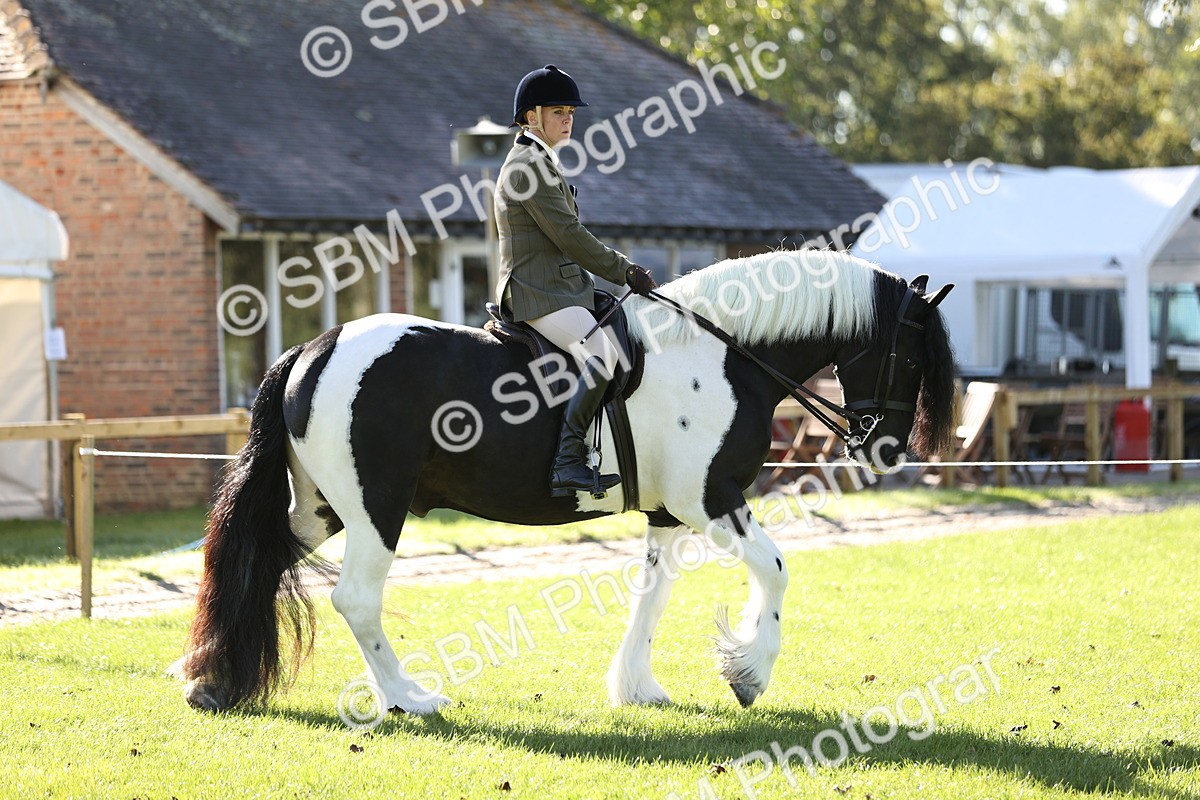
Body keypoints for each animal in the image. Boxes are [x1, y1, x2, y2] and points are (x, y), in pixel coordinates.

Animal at [179, 250, 955, 715]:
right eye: (911, 357)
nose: (884, 448)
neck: (722, 354)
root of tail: (315, 347)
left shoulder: (670, 513)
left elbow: (651, 594)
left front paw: (637, 687)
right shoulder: (710, 500)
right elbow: (775, 569)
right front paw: (748, 673)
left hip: (321, 507)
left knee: (258, 562)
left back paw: (212, 679)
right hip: (376, 509)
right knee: (356, 600)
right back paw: (408, 697)